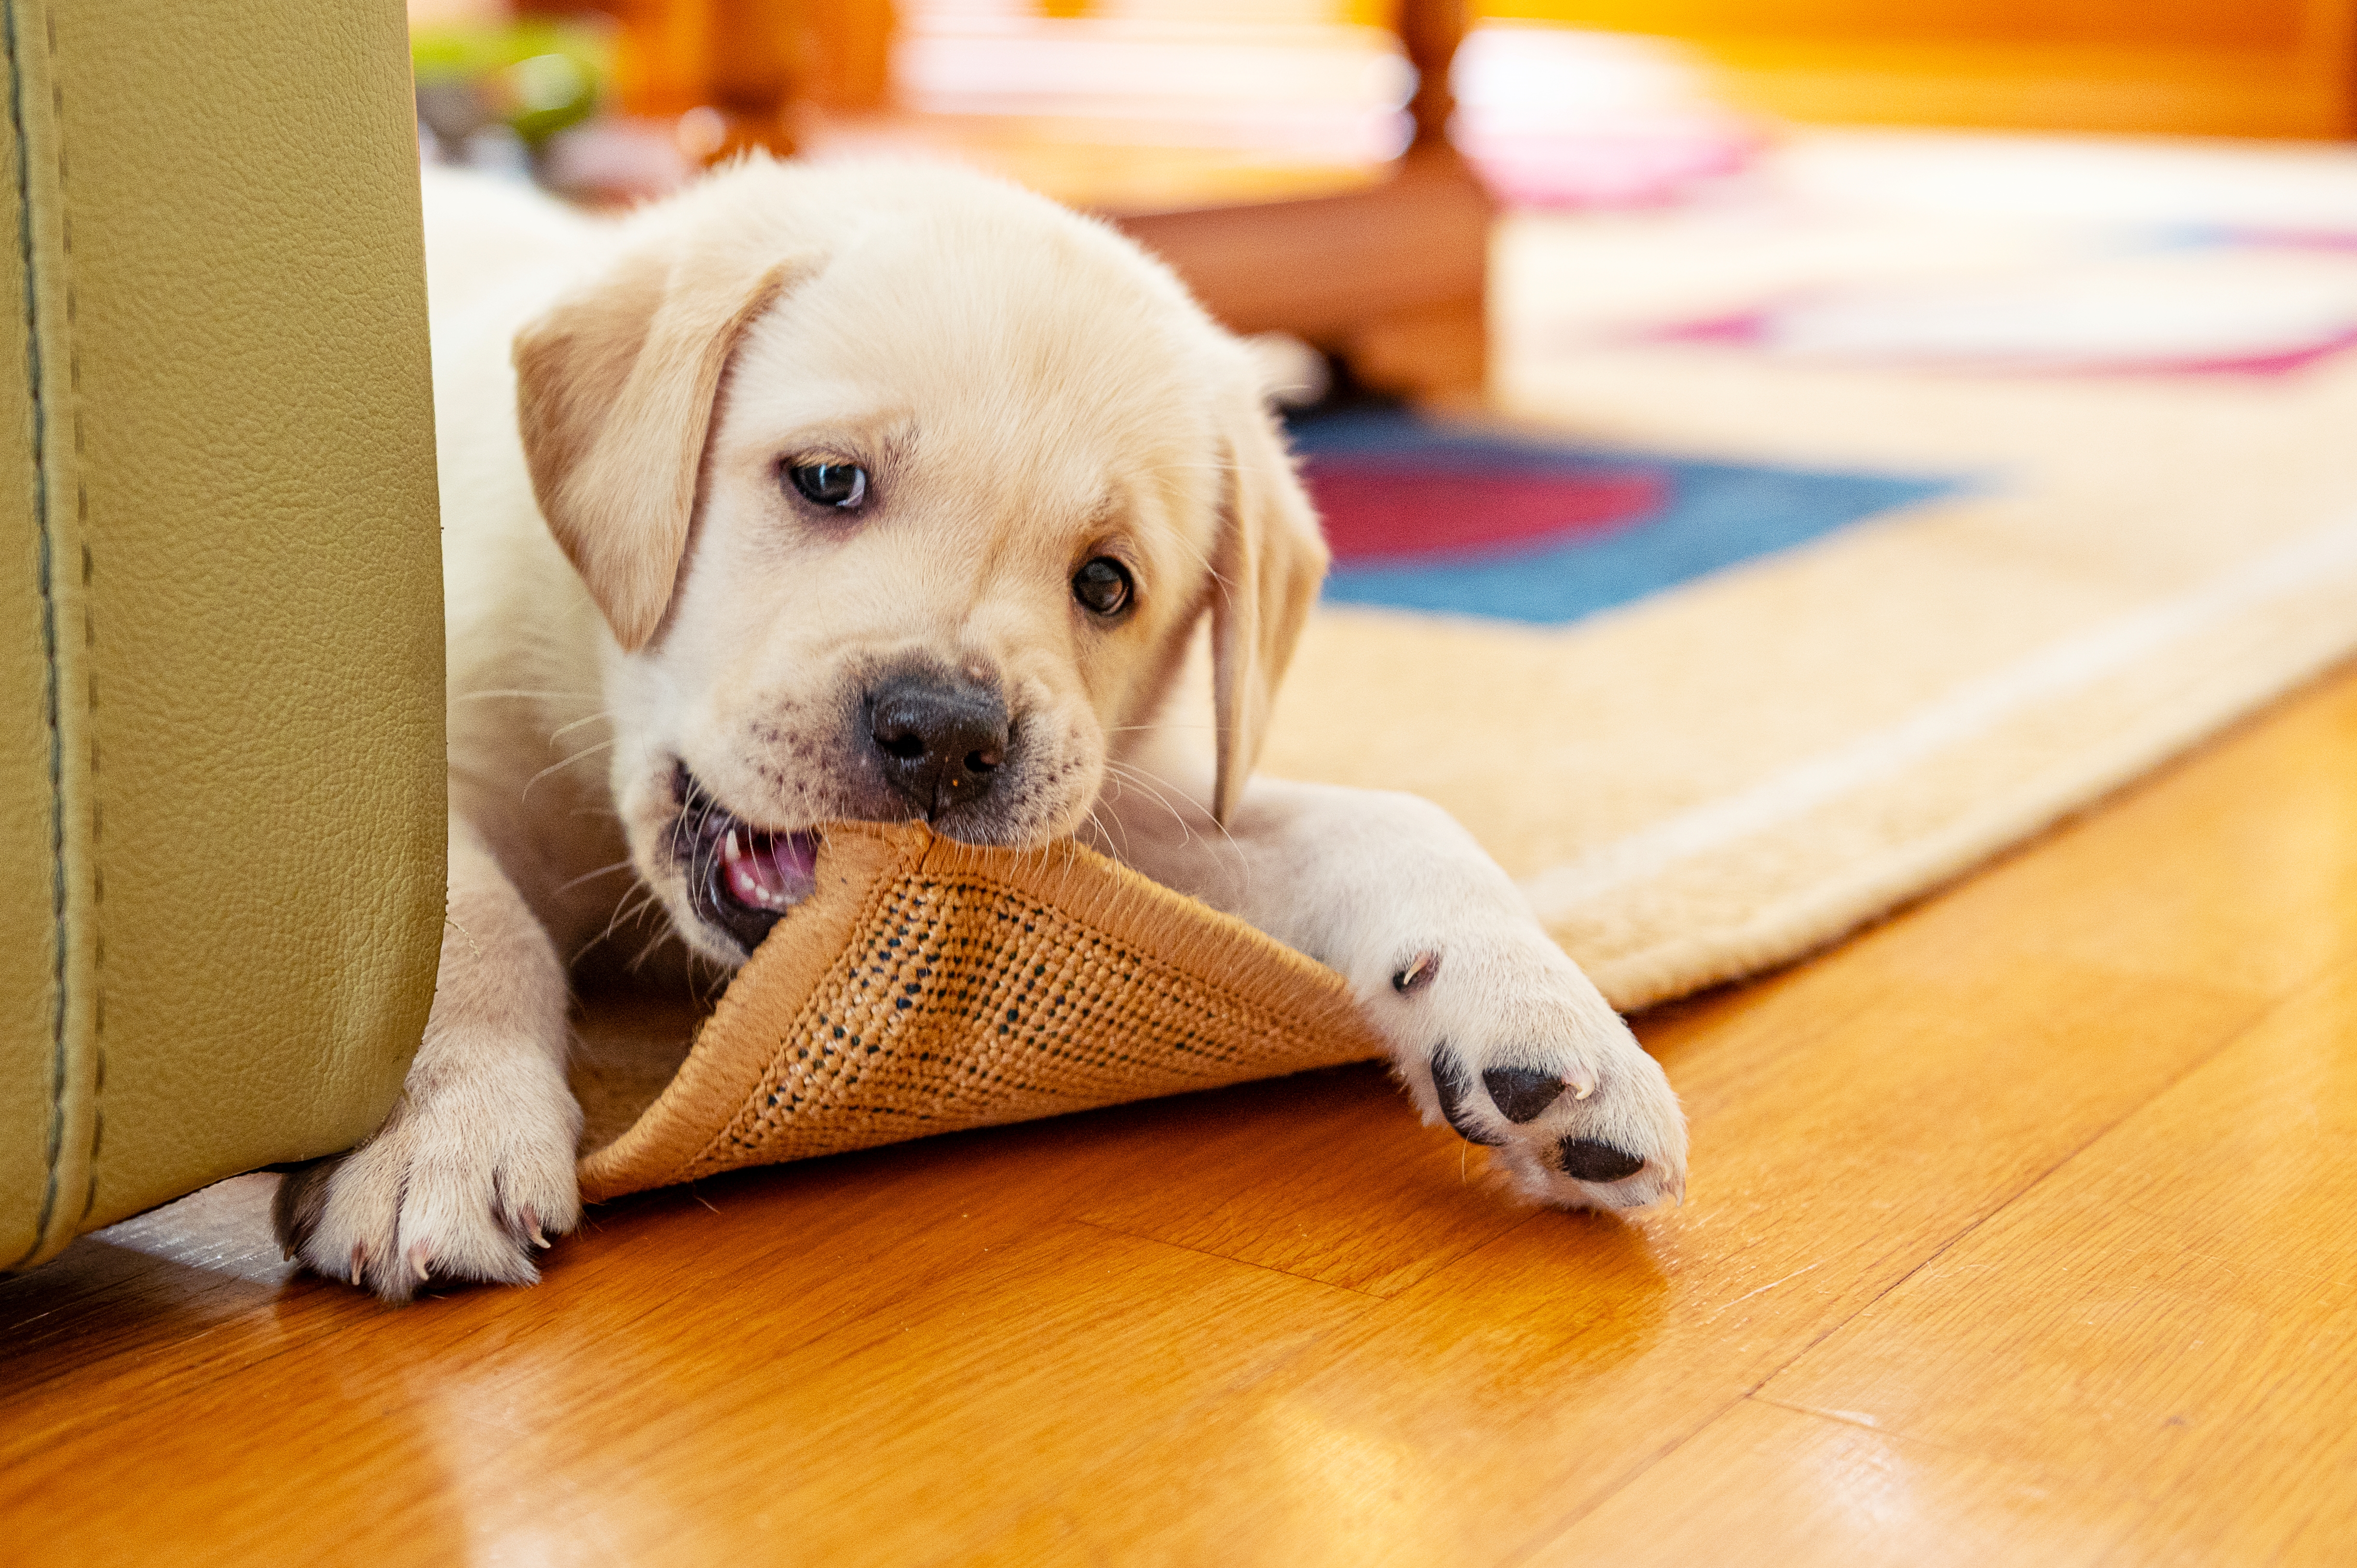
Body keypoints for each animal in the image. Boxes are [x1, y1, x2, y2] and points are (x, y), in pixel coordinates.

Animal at [275, 155, 1688, 1292]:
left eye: (1105, 585)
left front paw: (1543, 1016)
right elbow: (461, 927)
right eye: (827, 479)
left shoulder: (1105, 820)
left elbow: (1399, 821)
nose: (945, 734)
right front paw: (440, 1138)